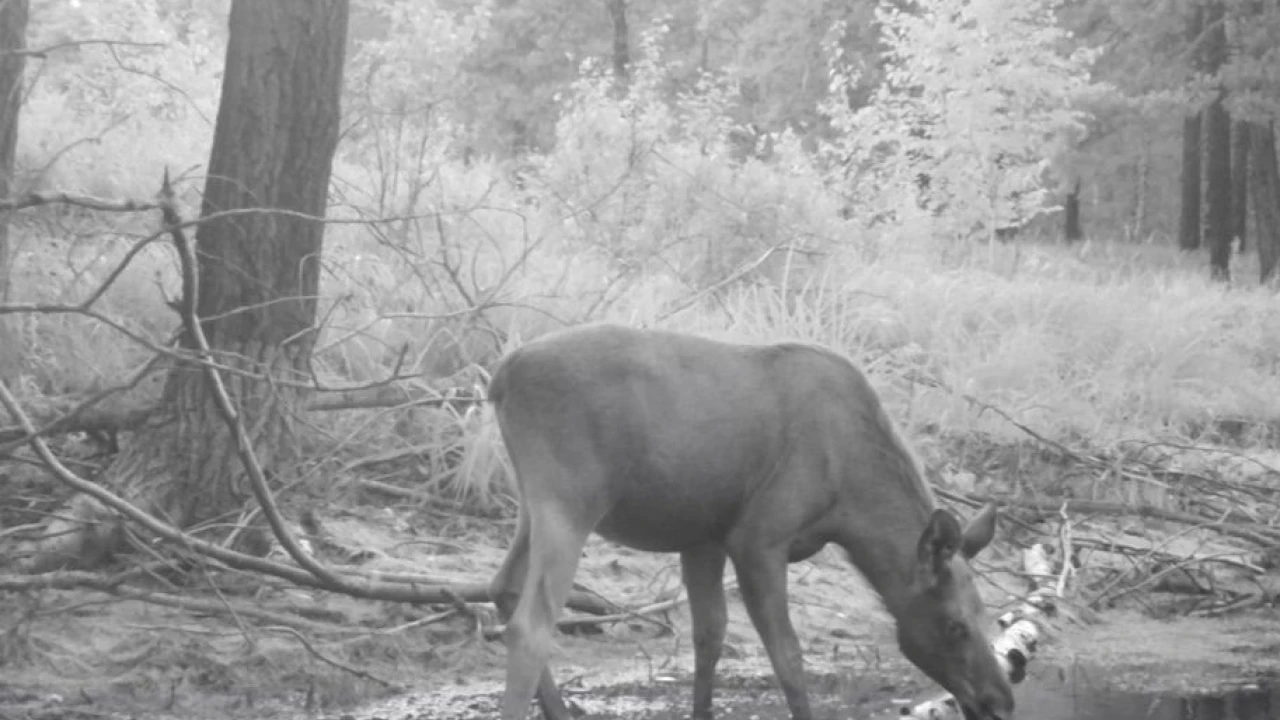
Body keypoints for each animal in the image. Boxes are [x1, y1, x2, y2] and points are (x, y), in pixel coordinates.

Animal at [483, 324, 1013, 717]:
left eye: (989, 616)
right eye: (954, 626)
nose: (1000, 701)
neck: (850, 506)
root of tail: (501, 376)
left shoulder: (704, 538)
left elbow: (709, 637)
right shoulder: (758, 539)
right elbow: (789, 657)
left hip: (534, 501)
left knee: (502, 586)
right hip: (570, 500)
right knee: (531, 625)